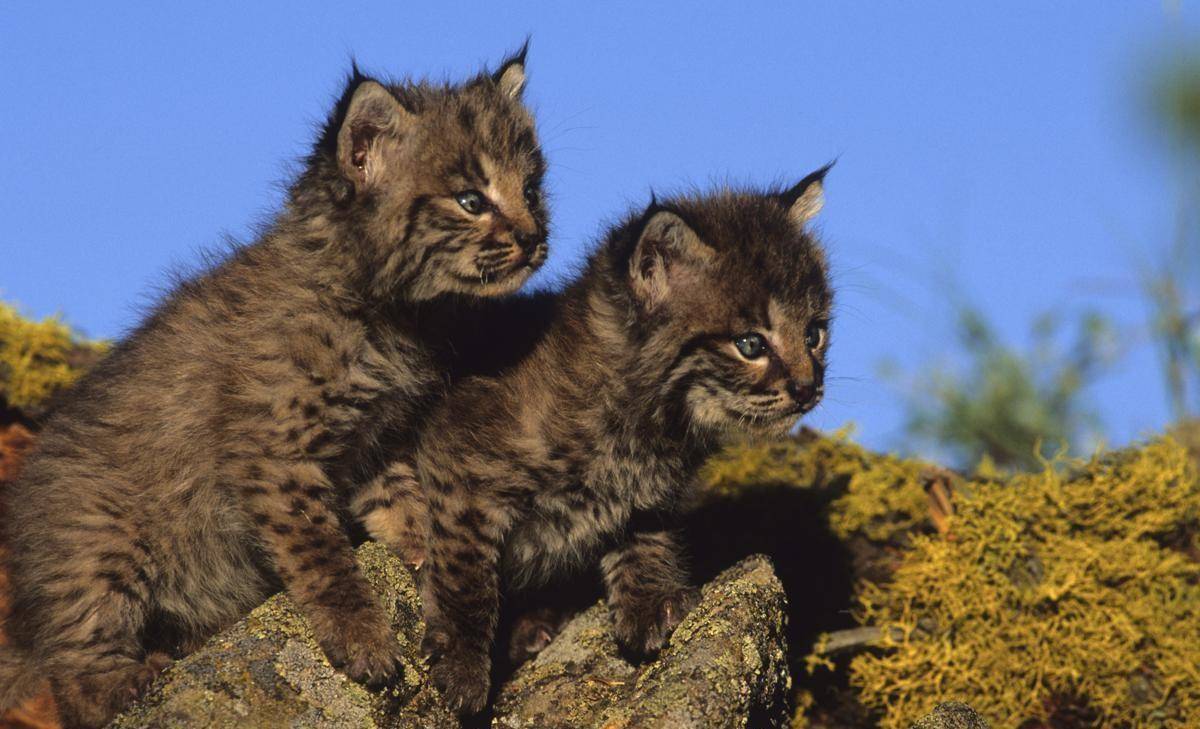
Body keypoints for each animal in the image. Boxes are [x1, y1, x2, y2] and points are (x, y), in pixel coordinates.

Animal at [0, 48, 549, 724]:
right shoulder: (274, 453)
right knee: (74, 669)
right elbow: (321, 555)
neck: (386, 312)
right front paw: (362, 638)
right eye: (471, 199)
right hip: (97, 548)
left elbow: (402, 496)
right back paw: (125, 683)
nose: (534, 238)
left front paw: (426, 546)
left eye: (531, 189)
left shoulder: (372, 437)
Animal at [379, 167, 830, 709]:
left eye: (814, 334)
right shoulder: (460, 462)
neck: (650, 421)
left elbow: (646, 537)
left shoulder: (646, 495)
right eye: (750, 344)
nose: (807, 390)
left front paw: (649, 602)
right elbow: (464, 572)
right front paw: (463, 662)